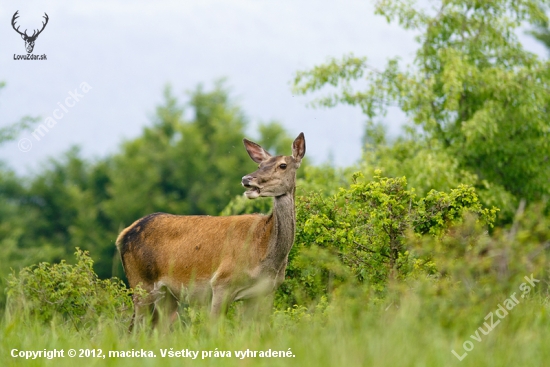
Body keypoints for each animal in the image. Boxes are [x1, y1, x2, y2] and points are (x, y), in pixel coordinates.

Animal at [116, 133, 306, 330]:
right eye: (260, 165)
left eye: (283, 165)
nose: (247, 179)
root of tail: (123, 235)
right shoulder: (222, 282)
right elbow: (214, 328)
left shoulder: (265, 291)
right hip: (140, 283)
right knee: (134, 328)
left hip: (167, 294)